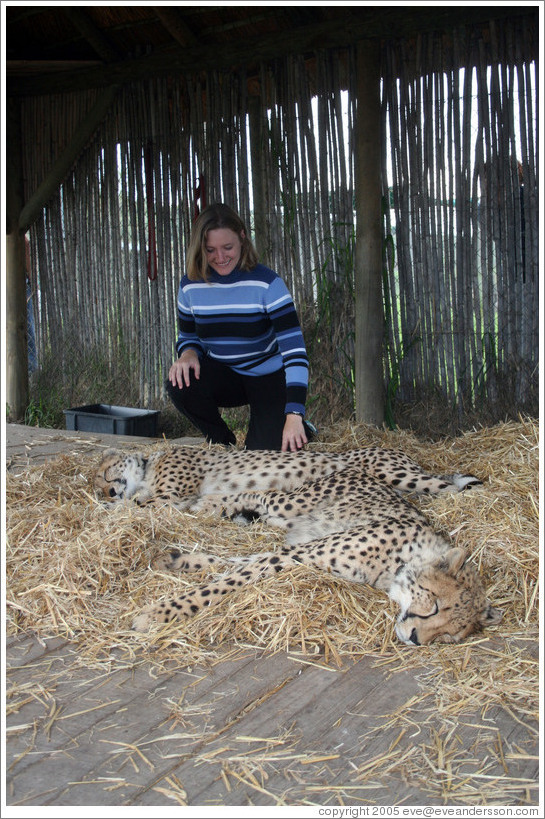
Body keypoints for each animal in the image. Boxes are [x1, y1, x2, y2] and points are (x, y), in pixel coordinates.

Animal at [93, 445, 503, 646]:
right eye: (435, 606)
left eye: (450, 635)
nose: (417, 639)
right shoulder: (296, 554)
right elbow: (229, 574)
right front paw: (158, 611)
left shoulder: (297, 556)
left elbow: (234, 565)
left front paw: (176, 565)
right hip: (298, 501)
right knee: (261, 497)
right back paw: (213, 506)